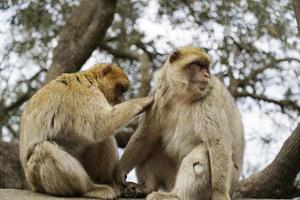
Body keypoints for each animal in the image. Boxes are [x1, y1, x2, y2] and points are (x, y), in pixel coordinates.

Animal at [19, 63, 152, 199]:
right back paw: (89, 189)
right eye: (120, 90)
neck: (91, 78)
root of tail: (32, 186)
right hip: (38, 180)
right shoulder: (84, 90)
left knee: (104, 139)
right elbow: (100, 124)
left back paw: (109, 182)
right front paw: (141, 101)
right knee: (43, 148)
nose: (122, 100)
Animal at [116, 48, 245, 200]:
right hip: (170, 176)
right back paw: (146, 188)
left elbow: (217, 142)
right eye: (198, 65)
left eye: (206, 67)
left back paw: (176, 195)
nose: (207, 75)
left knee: (202, 153)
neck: (182, 96)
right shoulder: (158, 96)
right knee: (153, 146)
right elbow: (146, 135)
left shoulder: (210, 98)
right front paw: (119, 172)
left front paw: (220, 194)